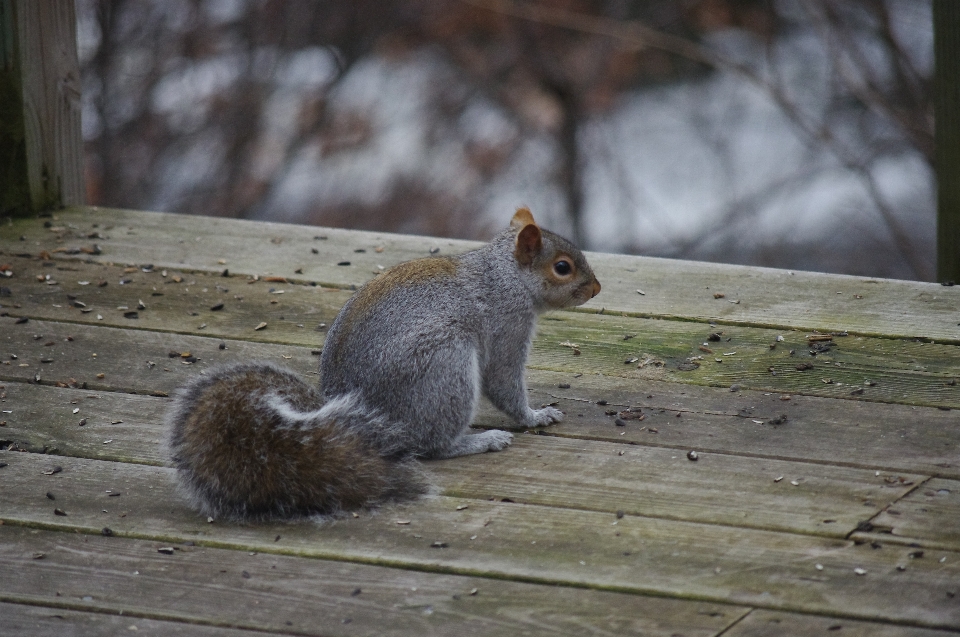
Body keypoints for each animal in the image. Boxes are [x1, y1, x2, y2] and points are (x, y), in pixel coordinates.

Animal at [165, 206, 600, 520]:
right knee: (430, 445)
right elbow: (504, 382)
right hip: (445, 366)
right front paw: (536, 416)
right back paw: (479, 441)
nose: (596, 289)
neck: (505, 275)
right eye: (562, 267)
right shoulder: (508, 325)